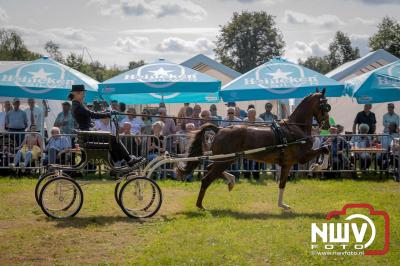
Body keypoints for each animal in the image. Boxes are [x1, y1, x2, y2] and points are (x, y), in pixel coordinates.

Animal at [177, 90, 332, 211]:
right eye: (326, 106)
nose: (327, 125)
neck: (295, 128)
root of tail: (219, 129)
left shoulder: (287, 163)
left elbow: (282, 183)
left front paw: (282, 205)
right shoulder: (299, 158)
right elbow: (324, 149)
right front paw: (317, 167)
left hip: (227, 159)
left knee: (210, 167)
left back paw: (231, 181)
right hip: (225, 160)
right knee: (206, 179)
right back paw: (200, 205)